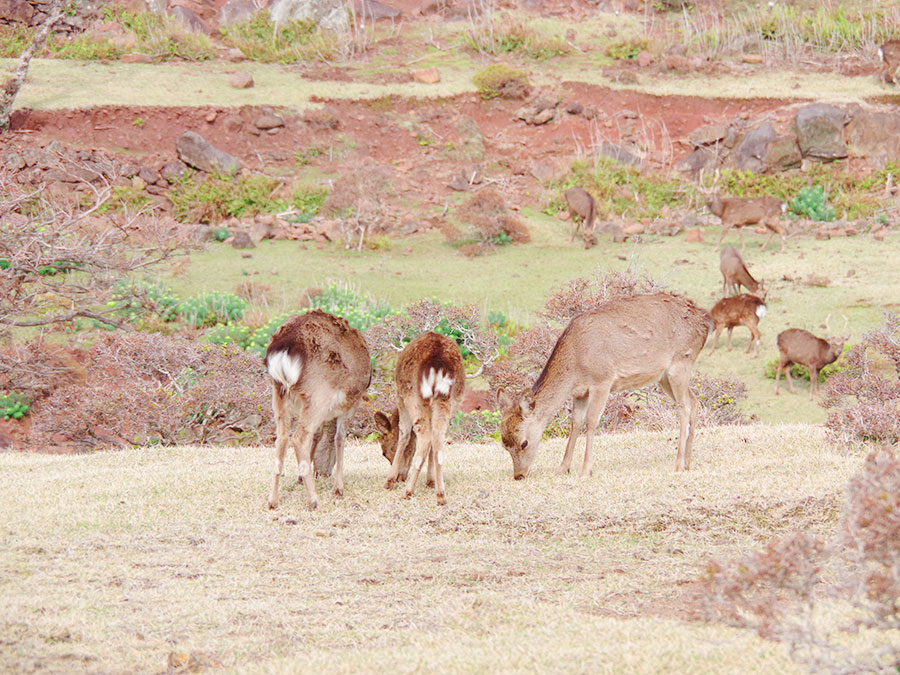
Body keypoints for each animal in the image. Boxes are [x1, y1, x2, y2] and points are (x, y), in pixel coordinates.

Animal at [264, 312, 372, 512]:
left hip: (278, 394)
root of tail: (285, 348)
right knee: (298, 438)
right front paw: (338, 489)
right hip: (319, 393)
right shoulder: (352, 403)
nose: (323, 472)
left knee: (282, 437)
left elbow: (317, 434)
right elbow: (339, 438)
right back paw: (314, 501)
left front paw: (300, 478)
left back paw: (272, 501)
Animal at [384, 330, 464, 504]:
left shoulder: (400, 397)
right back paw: (441, 494)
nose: (400, 476)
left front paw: (389, 480)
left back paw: (408, 491)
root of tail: (438, 363)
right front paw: (430, 481)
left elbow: (404, 433)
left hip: (413, 396)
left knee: (425, 436)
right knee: (438, 436)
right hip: (451, 400)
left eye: (384, 451)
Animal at [492, 294, 712, 480]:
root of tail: (705, 322)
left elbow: (591, 421)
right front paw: (563, 468)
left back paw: (678, 464)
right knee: (695, 402)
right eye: (504, 445)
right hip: (664, 376)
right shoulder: (580, 392)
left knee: (684, 407)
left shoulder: (602, 380)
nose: (519, 475)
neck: (576, 366)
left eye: (524, 442)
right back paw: (688, 463)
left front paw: (585, 471)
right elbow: (576, 423)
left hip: (681, 361)